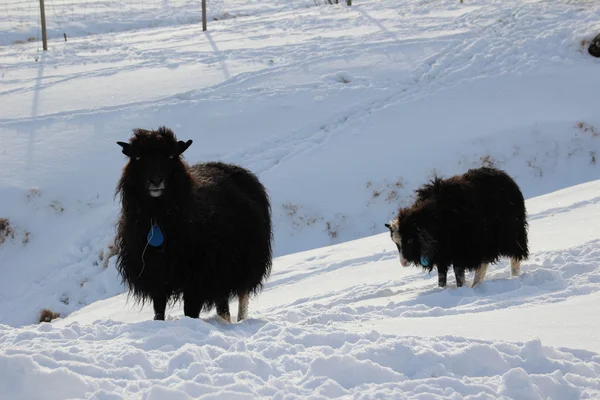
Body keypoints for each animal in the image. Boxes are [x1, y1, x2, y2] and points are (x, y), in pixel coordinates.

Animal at [113, 128, 274, 322]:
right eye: (137, 157)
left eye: (171, 156)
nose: (155, 181)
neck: (158, 219)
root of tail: (230, 167)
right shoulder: (157, 278)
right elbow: (159, 312)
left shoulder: (197, 281)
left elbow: (190, 312)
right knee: (223, 305)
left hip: (246, 263)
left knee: (242, 297)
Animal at [386, 167, 528, 290]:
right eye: (396, 243)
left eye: (410, 240)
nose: (403, 263)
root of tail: (505, 176)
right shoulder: (442, 256)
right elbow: (441, 276)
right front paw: (442, 289)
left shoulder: (461, 252)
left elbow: (458, 274)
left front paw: (460, 288)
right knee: (483, 264)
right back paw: (476, 285)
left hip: (510, 234)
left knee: (514, 258)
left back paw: (513, 277)